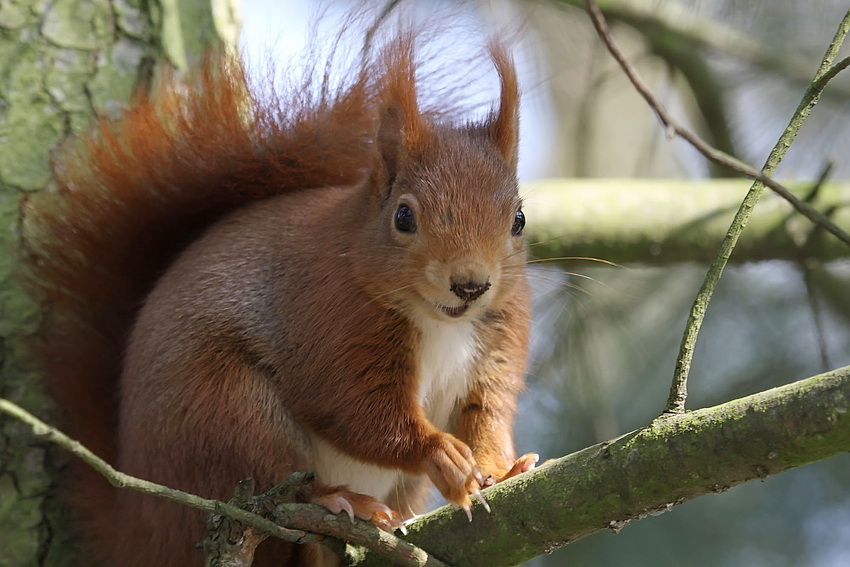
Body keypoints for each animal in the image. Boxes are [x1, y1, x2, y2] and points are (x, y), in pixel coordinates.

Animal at [24, 18, 536, 567]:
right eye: (403, 216)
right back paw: (337, 500)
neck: (440, 323)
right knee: (276, 488)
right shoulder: (330, 318)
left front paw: (502, 468)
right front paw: (438, 453)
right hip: (225, 414)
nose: (471, 284)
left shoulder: (496, 340)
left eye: (519, 219)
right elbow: (356, 411)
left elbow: (485, 413)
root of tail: (141, 525)